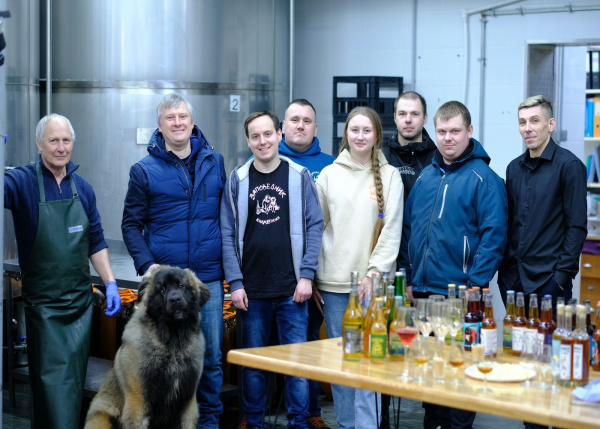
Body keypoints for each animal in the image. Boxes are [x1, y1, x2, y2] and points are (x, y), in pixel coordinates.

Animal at [85, 266, 211, 429]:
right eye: (162, 289)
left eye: (182, 286)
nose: (175, 299)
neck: (172, 343)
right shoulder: (139, 399)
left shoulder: (187, 400)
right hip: (102, 416)